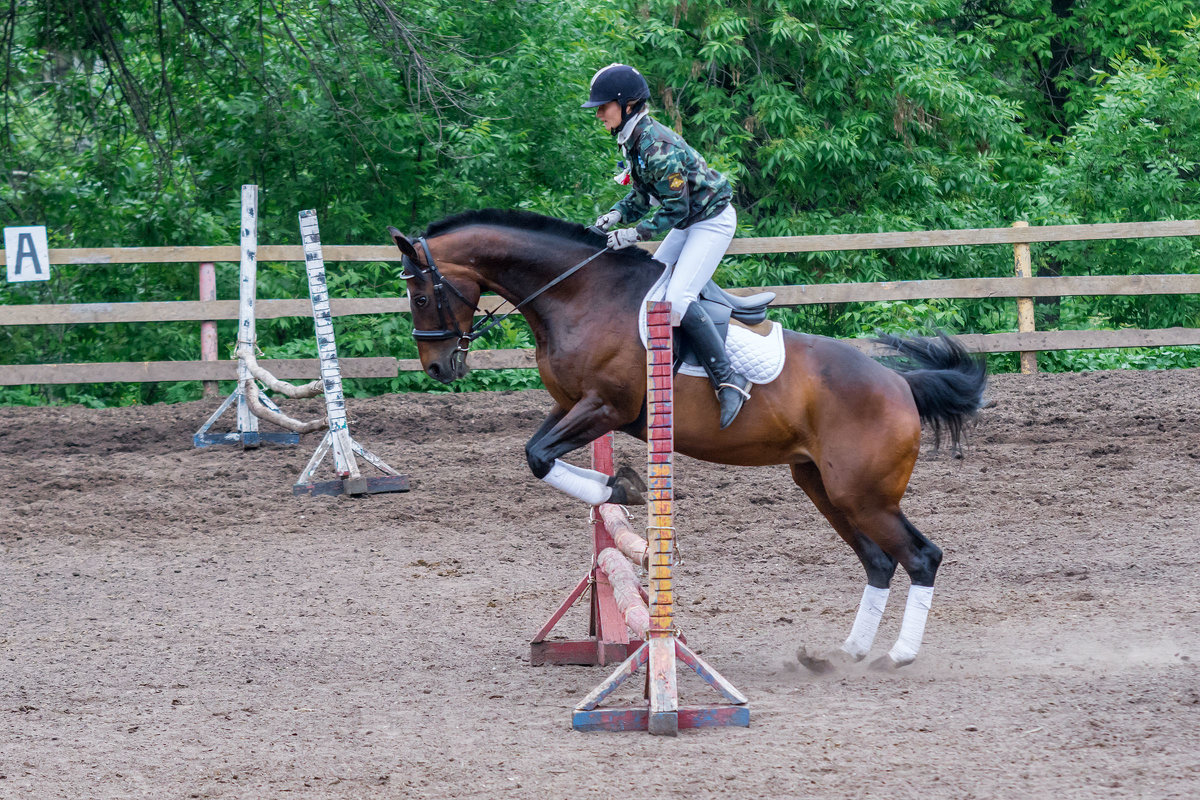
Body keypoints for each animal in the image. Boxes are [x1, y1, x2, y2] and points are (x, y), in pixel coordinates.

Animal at [388, 208, 988, 671]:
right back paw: (849, 653)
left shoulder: (605, 407)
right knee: (879, 561)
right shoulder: (571, 405)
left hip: (864, 494)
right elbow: (536, 454)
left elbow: (539, 457)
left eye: (419, 296)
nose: (438, 367)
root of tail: (901, 385)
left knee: (921, 556)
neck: (579, 295)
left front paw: (622, 487)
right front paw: (619, 487)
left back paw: (899, 655)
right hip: (823, 487)